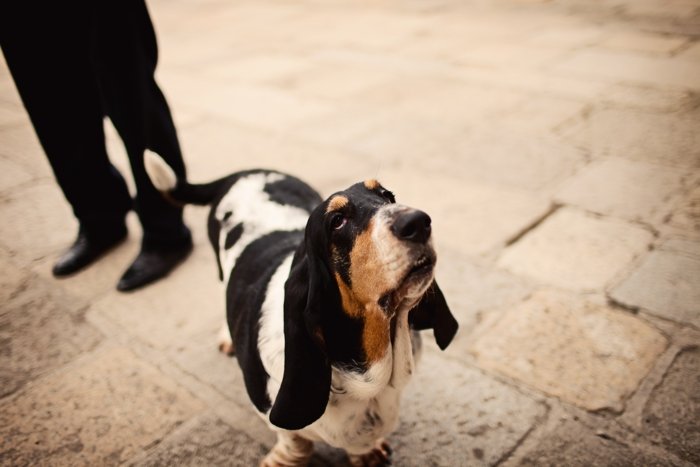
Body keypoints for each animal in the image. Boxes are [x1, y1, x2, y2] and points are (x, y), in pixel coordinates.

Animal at [144, 151, 458, 466]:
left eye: (387, 196)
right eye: (337, 221)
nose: (419, 222)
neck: (365, 381)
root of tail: (247, 171)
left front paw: (366, 452)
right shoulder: (269, 410)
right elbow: (293, 438)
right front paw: (285, 459)